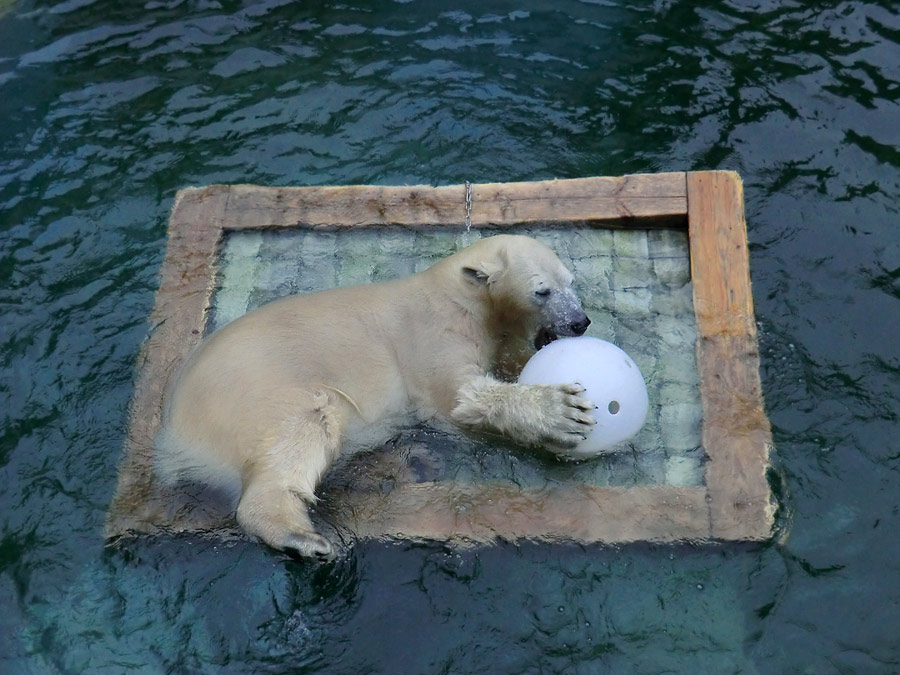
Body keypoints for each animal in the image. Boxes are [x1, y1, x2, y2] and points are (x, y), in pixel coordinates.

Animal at [158, 235, 596, 564]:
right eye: (542, 290)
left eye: (571, 281)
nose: (580, 321)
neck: (458, 293)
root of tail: (173, 440)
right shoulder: (433, 332)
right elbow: (459, 400)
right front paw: (562, 411)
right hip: (256, 394)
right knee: (305, 427)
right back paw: (303, 539)